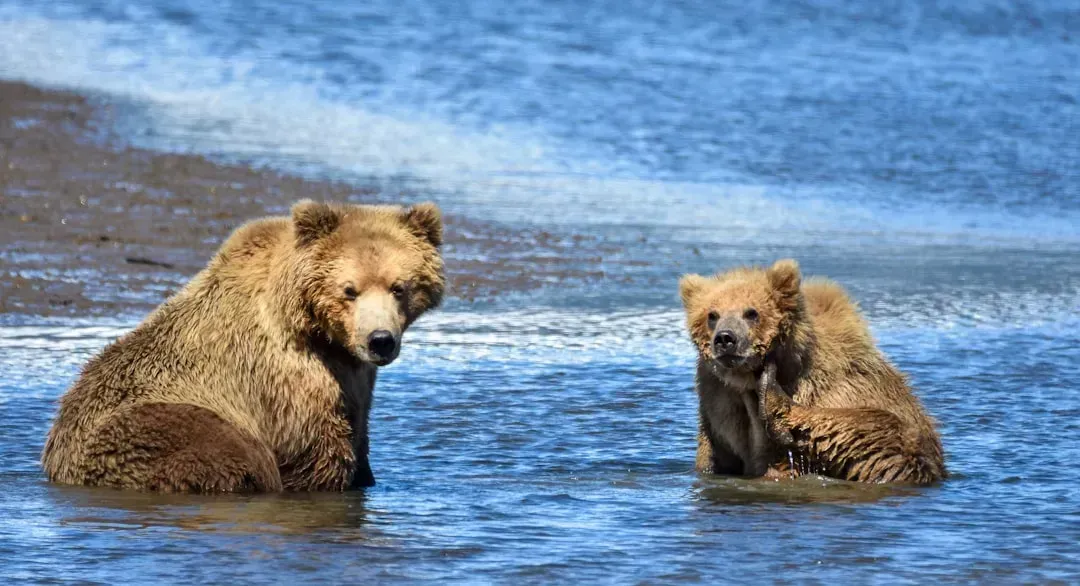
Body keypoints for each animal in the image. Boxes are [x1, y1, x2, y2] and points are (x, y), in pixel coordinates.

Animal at [42, 200, 445, 493]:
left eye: (399, 287)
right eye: (349, 289)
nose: (380, 340)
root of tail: (56, 459)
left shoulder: (355, 377)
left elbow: (359, 436)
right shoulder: (287, 378)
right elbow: (316, 455)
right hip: (155, 424)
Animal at [679, 259, 946, 485]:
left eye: (751, 312)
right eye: (712, 315)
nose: (725, 338)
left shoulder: (831, 387)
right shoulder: (718, 410)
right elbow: (713, 460)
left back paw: (774, 398)